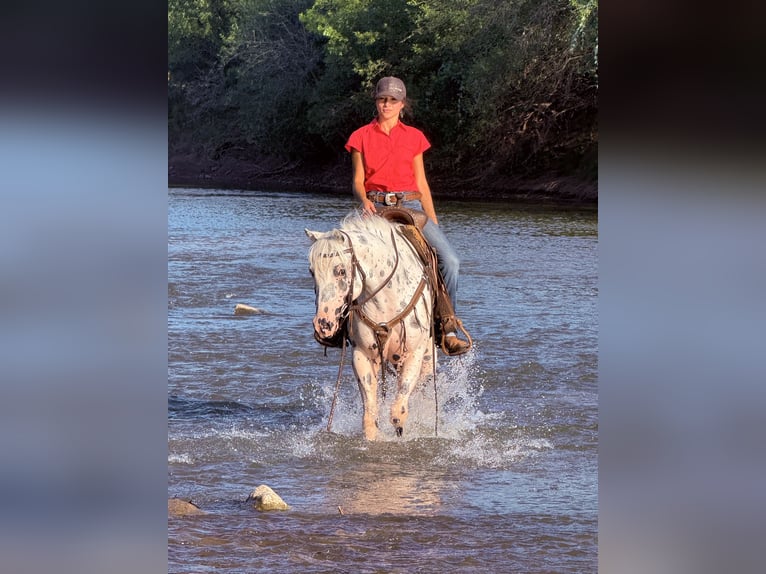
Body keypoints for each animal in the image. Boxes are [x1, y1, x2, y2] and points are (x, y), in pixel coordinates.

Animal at [306, 212, 436, 440]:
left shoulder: (414, 354)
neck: (388, 299)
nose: (323, 323)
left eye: (340, 270)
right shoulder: (363, 355)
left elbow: (398, 412)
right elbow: (369, 415)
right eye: (311, 271)